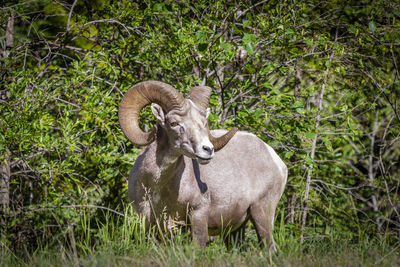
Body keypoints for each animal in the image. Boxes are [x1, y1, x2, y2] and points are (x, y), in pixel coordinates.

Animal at [119, 81, 288, 249]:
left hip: (262, 213)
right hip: (235, 230)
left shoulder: (198, 214)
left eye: (203, 123)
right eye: (173, 123)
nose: (208, 149)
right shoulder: (151, 222)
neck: (157, 184)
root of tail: (276, 160)